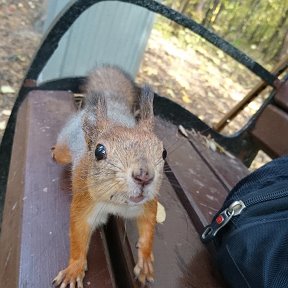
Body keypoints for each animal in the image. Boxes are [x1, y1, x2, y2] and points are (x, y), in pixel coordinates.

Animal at [50, 66, 165, 286]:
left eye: (164, 153)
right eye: (99, 151)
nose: (144, 176)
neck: (118, 203)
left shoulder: (147, 204)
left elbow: (148, 227)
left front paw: (145, 259)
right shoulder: (85, 202)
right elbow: (78, 235)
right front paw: (74, 269)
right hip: (64, 150)